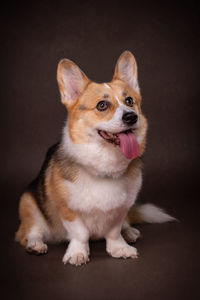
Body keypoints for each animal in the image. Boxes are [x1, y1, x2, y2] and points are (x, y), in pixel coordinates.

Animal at [16, 51, 175, 264]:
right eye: (102, 105)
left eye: (129, 101)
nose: (131, 117)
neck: (104, 164)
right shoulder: (68, 210)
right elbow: (80, 233)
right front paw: (77, 253)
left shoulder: (120, 210)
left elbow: (114, 231)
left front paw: (119, 248)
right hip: (28, 203)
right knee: (30, 231)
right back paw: (36, 244)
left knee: (124, 225)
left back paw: (129, 232)